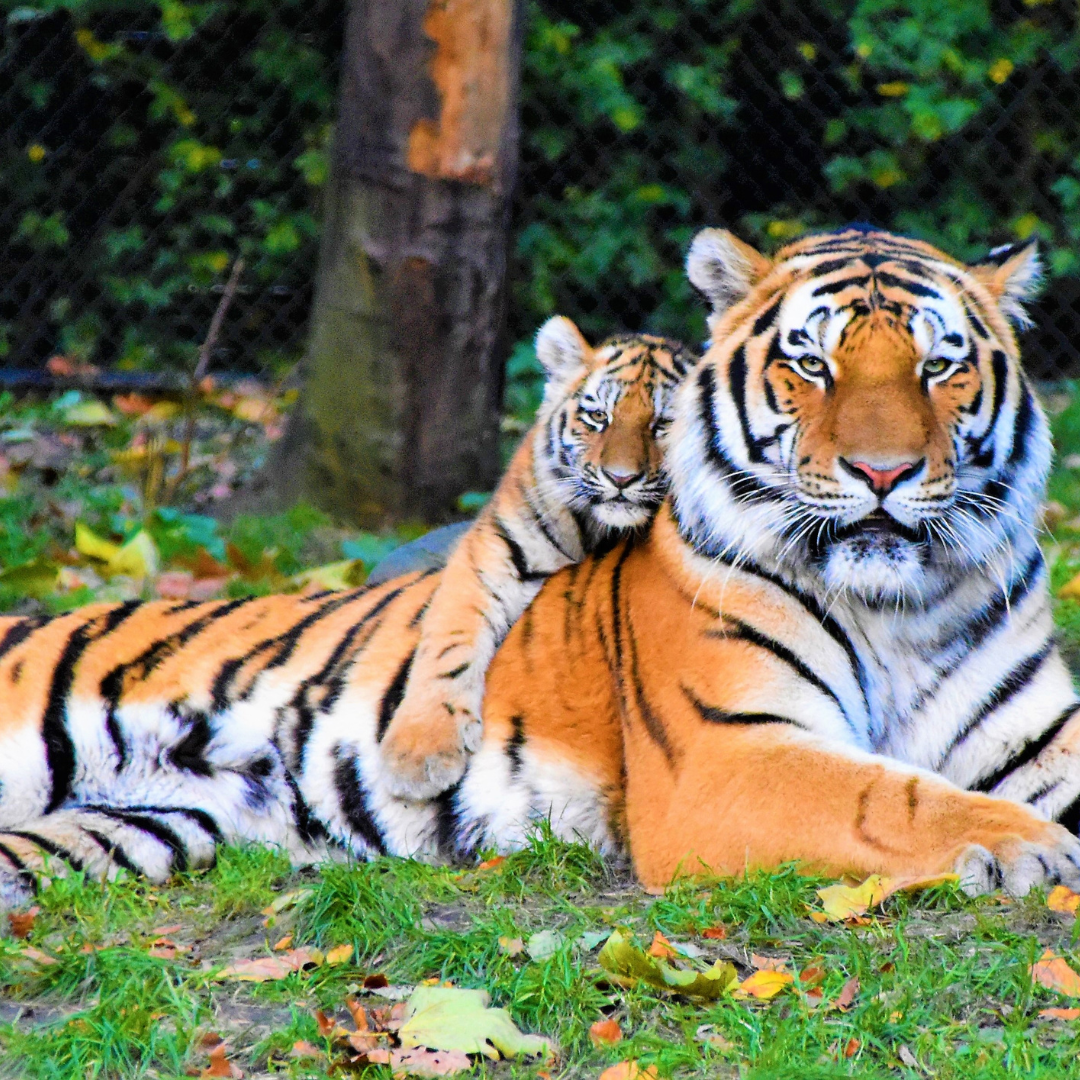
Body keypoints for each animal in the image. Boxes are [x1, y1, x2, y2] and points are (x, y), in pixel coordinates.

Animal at [378, 317, 696, 800]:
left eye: (663, 423)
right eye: (599, 417)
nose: (621, 479)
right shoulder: (491, 553)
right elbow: (449, 640)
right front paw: (419, 754)